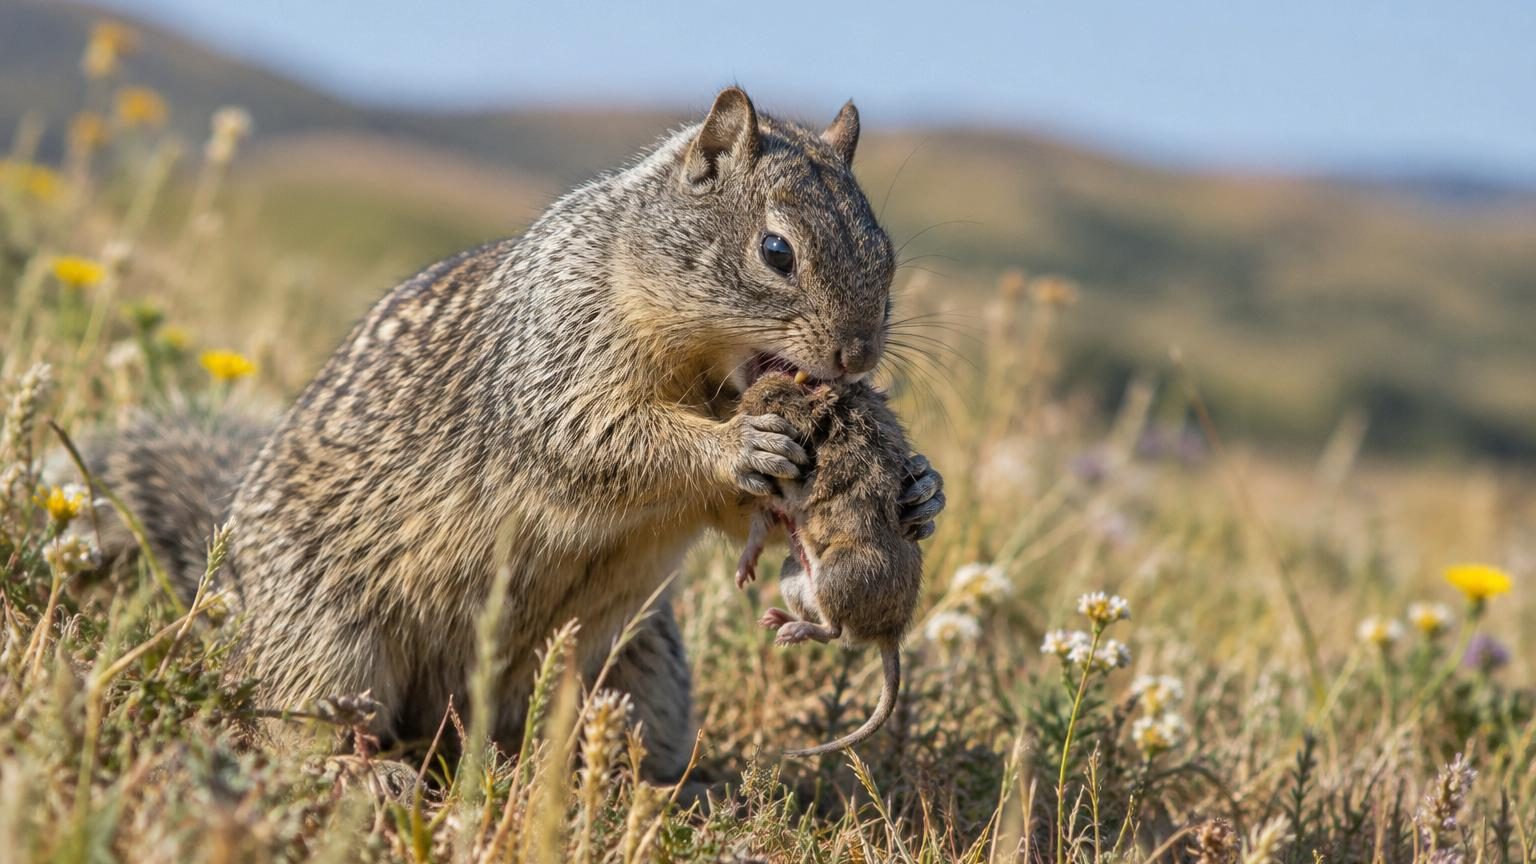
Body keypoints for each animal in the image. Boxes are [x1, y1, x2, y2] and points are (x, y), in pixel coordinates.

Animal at [732, 373, 922, 756]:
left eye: (772, 398)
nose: (739, 407)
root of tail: (891, 636)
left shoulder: (804, 485)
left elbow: (789, 500)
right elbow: (759, 527)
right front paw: (743, 573)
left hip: (838, 572)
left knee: (835, 631)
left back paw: (790, 631)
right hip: (792, 575)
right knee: (822, 625)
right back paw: (777, 621)